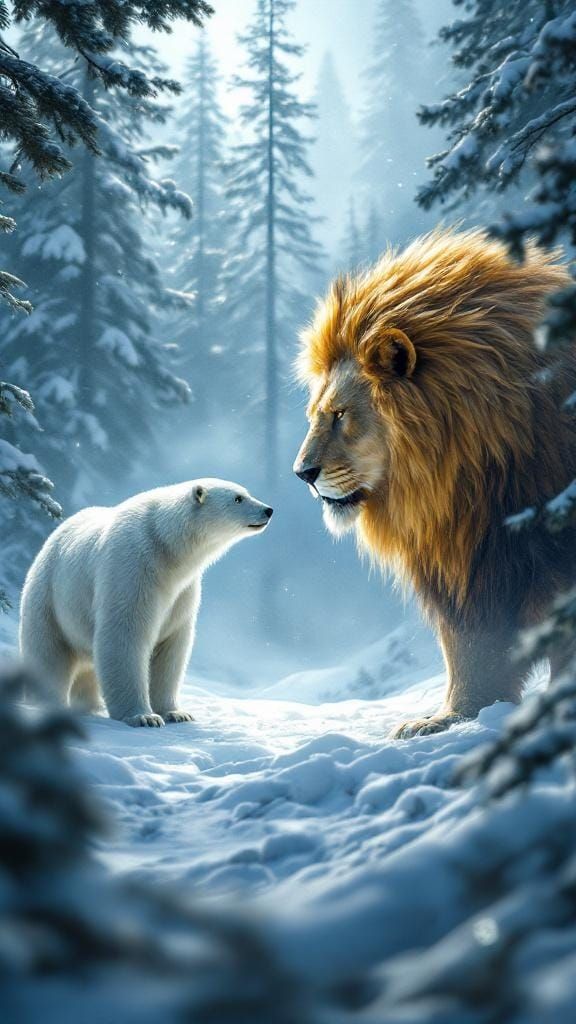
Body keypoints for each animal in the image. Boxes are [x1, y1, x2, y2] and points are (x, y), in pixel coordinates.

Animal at [20, 479, 273, 726]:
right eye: (238, 498)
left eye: (246, 492)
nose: (268, 510)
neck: (166, 545)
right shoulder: (132, 567)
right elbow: (124, 634)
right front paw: (143, 716)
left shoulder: (183, 591)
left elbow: (172, 645)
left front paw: (176, 713)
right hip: (49, 600)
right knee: (48, 656)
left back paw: (91, 706)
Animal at [293, 227, 576, 737]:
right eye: (315, 415)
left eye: (340, 415)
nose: (301, 473)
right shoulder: (473, 561)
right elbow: (472, 650)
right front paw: (450, 717)